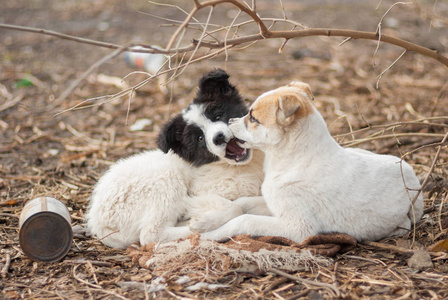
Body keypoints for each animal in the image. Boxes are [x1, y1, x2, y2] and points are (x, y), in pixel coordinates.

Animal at [87, 69, 268, 248]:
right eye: (200, 138)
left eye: (218, 116)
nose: (219, 137)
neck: (238, 167)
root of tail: (98, 223)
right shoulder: (200, 190)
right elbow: (234, 206)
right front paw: (202, 221)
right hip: (164, 179)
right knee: (151, 234)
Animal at [200, 81, 424, 243]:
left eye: (253, 118)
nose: (230, 121)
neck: (294, 160)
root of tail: (413, 178)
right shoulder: (274, 204)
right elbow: (240, 203)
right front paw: (205, 222)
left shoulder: (297, 227)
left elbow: (244, 219)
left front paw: (207, 236)